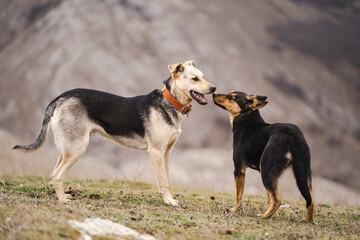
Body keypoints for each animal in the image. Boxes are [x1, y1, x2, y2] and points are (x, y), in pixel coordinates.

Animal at [14, 60, 215, 206]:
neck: (170, 102)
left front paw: (169, 199)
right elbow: (164, 181)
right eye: (195, 79)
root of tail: (60, 98)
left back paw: (62, 196)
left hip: (65, 148)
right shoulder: (156, 152)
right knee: (57, 175)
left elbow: (167, 179)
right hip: (77, 148)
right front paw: (169, 202)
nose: (214, 89)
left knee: (54, 174)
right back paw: (63, 200)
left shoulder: (166, 153)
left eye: (203, 76)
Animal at [212, 91, 314, 221]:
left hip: (267, 170)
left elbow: (239, 196)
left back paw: (264, 216)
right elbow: (268, 197)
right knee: (310, 200)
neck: (246, 120)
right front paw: (274, 215)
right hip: (304, 174)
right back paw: (307, 220)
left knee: (277, 200)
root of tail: (294, 136)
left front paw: (234, 210)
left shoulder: (239, 170)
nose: (213, 93)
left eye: (232, 97)